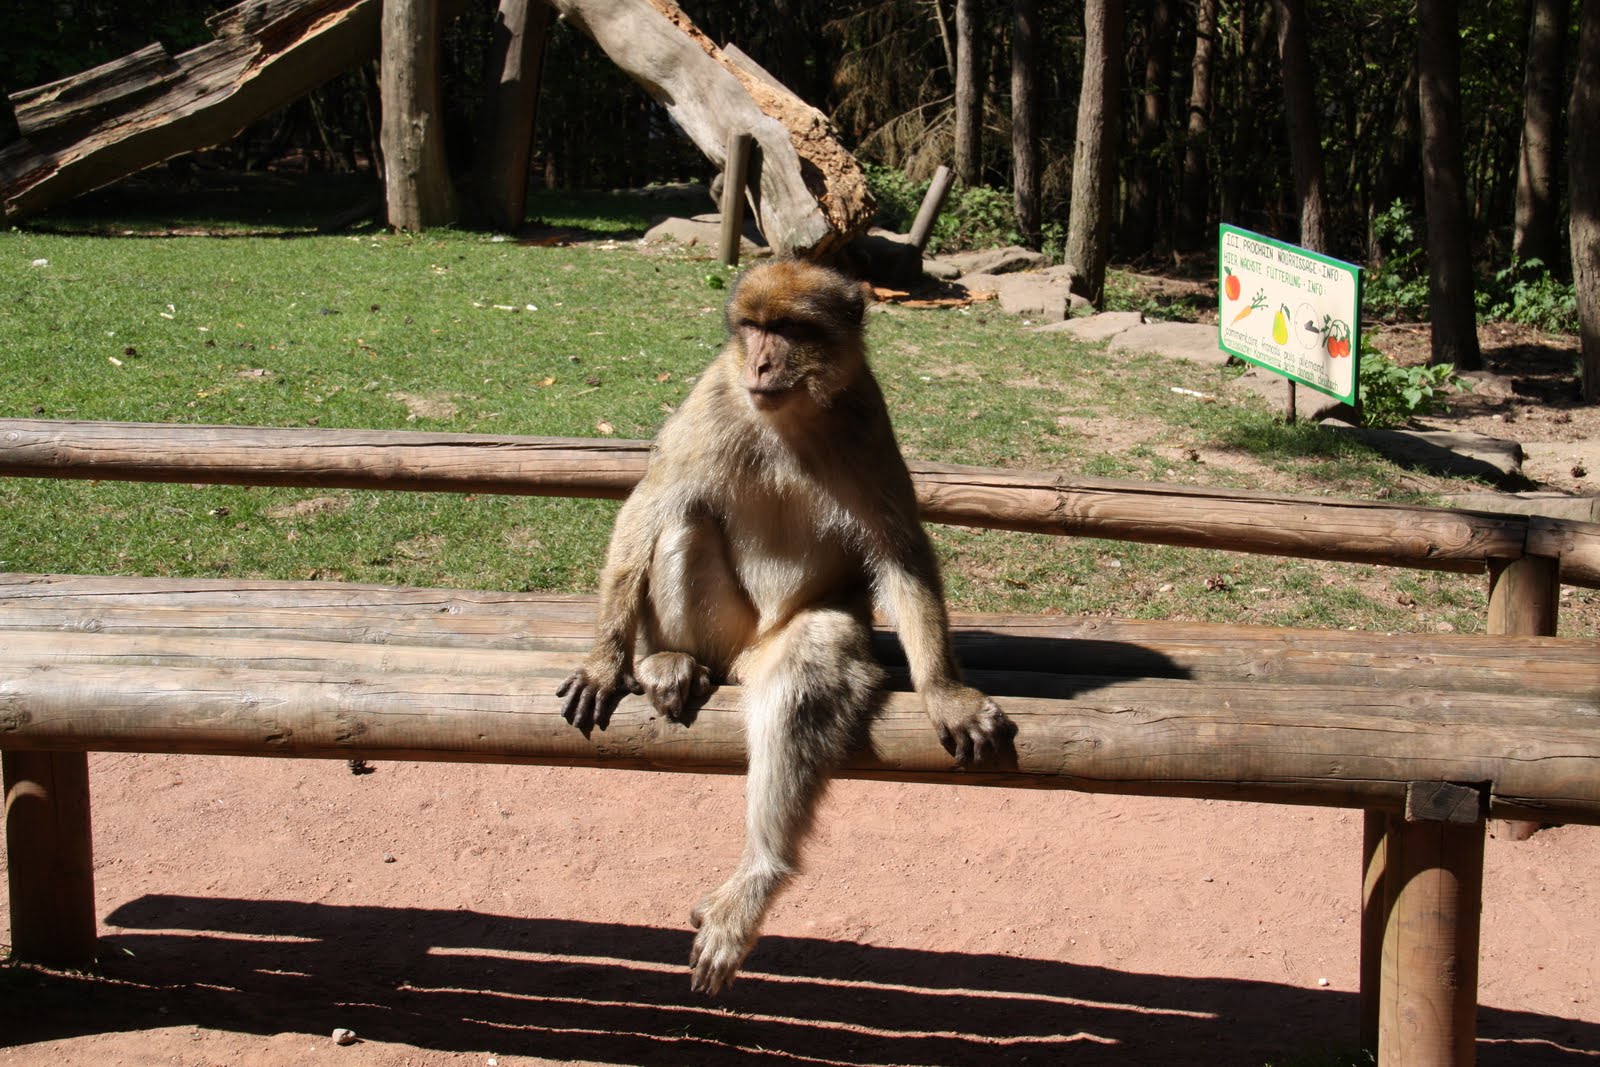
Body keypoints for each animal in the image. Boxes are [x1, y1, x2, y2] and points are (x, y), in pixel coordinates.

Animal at [557, 257, 1011, 995]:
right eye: (753, 326)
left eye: (792, 330)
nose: (762, 361)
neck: (790, 416)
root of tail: (742, 656)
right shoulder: (712, 397)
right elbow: (650, 504)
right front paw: (605, 660)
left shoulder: (867, 419)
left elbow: (901, 553)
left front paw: (945, 691)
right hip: (722, 630)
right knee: (682, 516)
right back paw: (667, 660)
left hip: (778, 640)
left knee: (807, 667)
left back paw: (758, 874)